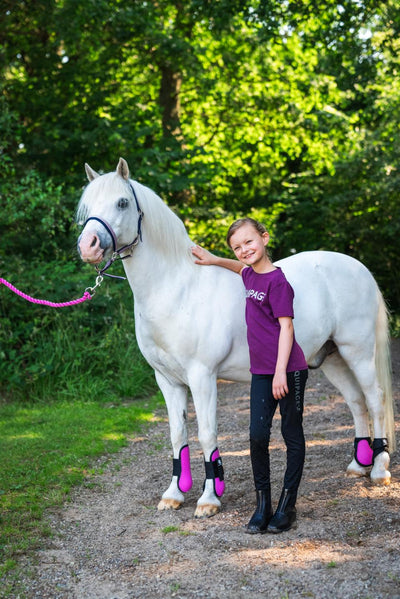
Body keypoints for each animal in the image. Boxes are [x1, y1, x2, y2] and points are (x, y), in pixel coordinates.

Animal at [76, 158, 396, 516]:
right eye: (87, 205)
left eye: (122, 202)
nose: (87, 246)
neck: (177, 289)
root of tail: (359, 268)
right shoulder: (167, 380)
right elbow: (176, 435)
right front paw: (173, 495)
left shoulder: (202, 377)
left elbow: (206, 433)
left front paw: (209, 499)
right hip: (331, 358)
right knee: (356, 402)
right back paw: (358, 466)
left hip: (358, 352)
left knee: (375, 399)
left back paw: (379, 470)